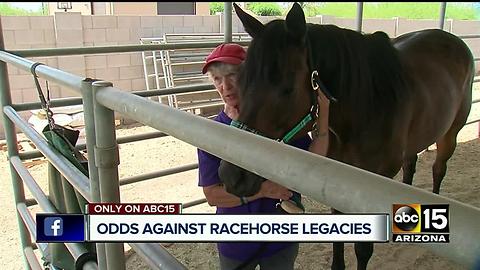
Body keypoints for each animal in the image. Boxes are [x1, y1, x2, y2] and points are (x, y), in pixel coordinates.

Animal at [219, 2, 474, 270]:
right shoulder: (338, 183)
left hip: (450, 135)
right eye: (241, 80)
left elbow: (362, 249)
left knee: (438, 169)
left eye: (287, 88)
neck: (366, 105)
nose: (232, 176)